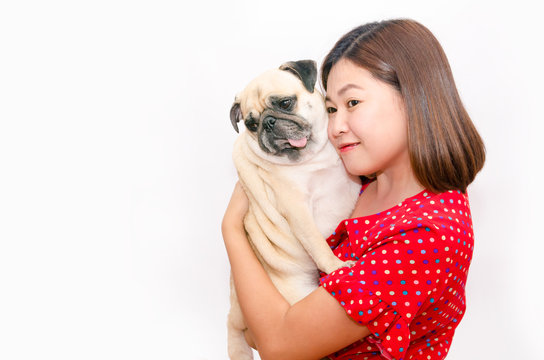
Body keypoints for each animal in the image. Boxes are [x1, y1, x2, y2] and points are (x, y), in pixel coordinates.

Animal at [226, 60, 362, 358]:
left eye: (285, 103)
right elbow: (318, 246)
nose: (268, 123)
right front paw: (336, 267)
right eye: (251, 125)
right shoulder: (298, 210)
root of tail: (234, 314)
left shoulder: (352, 181)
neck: (312, 158)